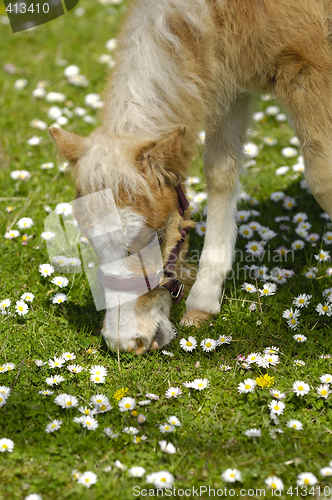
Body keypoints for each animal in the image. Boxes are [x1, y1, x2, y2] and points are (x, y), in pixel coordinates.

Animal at [49, 0, 332, 354]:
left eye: (155, 237)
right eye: (90, 240)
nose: (126, 342)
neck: (225, 12)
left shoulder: (306, 67)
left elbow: (322, 178)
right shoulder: (226, 77)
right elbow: (220, 171)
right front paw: (203, 302)